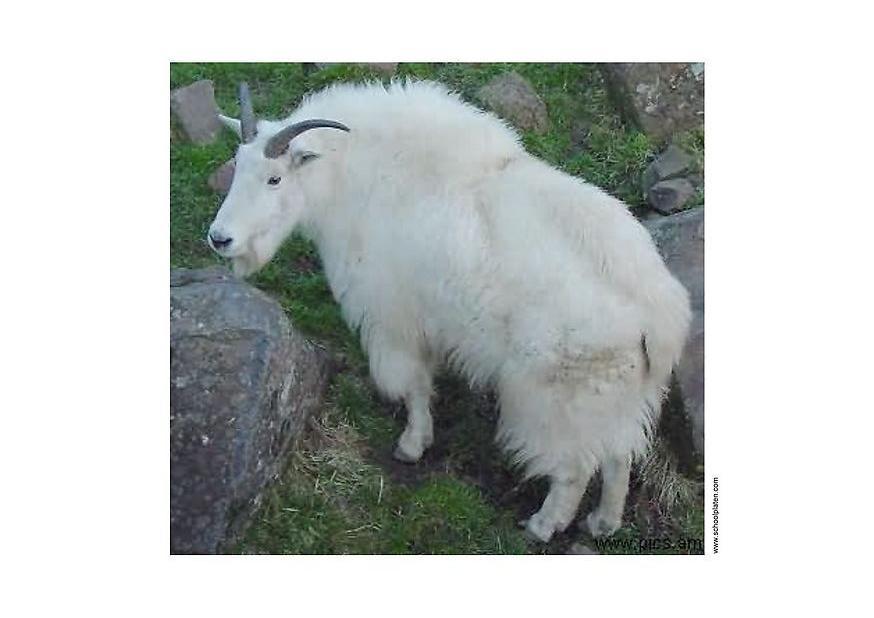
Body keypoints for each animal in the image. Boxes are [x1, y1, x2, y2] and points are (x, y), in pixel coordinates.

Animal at [208, 80, 691, 542]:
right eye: (237, 165)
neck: (355, 178)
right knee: (619, 455)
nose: (220, 238)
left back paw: (543, 524)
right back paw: (603, 523)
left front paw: (411, 444)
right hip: (624, 393)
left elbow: (414, 386)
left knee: (574, 467)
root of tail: (660, 316)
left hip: (559, 396)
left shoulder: (394, 320)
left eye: (274, 179)